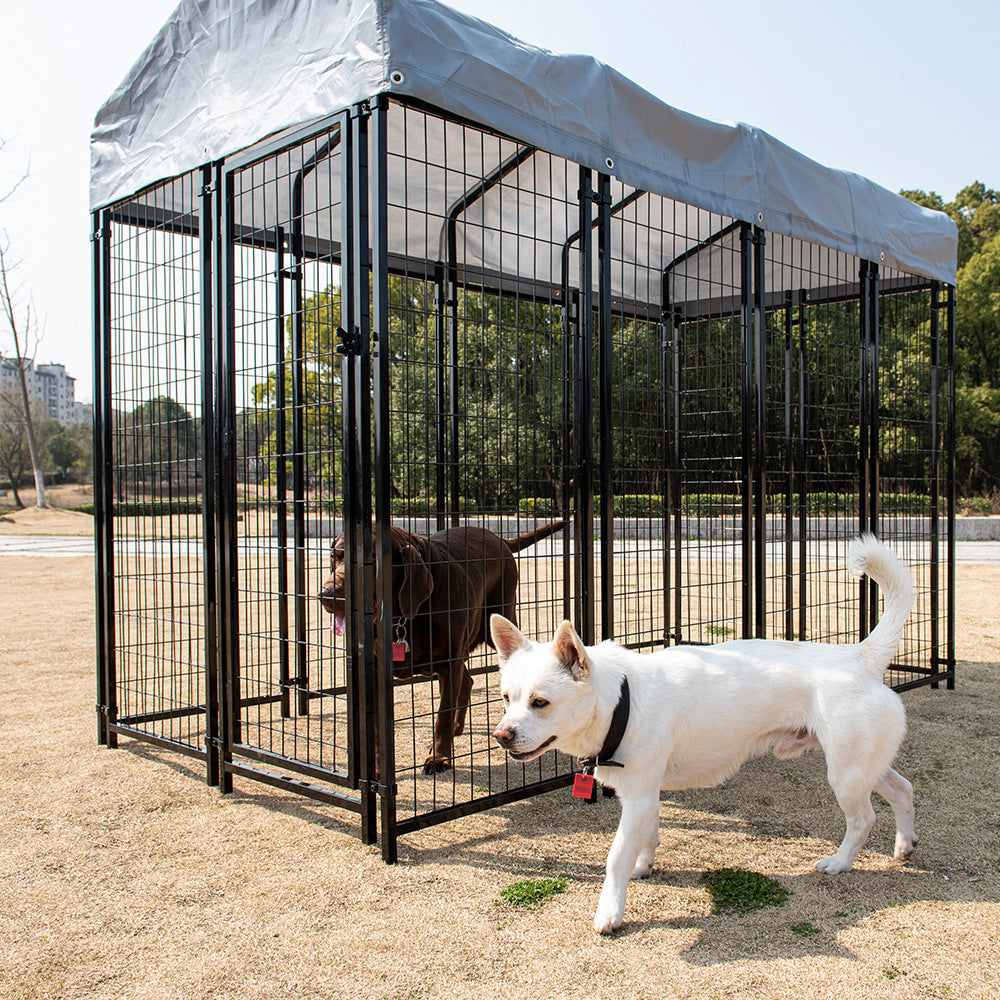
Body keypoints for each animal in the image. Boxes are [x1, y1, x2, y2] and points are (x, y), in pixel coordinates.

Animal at [322, 524, 568, 772]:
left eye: (370, 561)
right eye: (335, 557)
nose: (325, 594)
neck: (404, 619)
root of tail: (499, 538)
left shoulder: (449, 664)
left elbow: (442, 716)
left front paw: (438, 758)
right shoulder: (375, 670)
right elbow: (376, 724)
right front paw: (378, 766)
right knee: (467, 681)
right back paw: (458, 727)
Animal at [488, 536, 916, 932]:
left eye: (540, 702)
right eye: (507, 698)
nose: (501, 735)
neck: (623, 699)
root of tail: (859, 656)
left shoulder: (639, 798)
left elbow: (616, 857)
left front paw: (609, 912)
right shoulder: (645, 796)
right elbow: (648, 838)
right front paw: (644, 866)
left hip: (845, 774)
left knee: (863, 819)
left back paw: (840, 862)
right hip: (863, 766)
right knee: (903, 789)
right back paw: (905, 845)